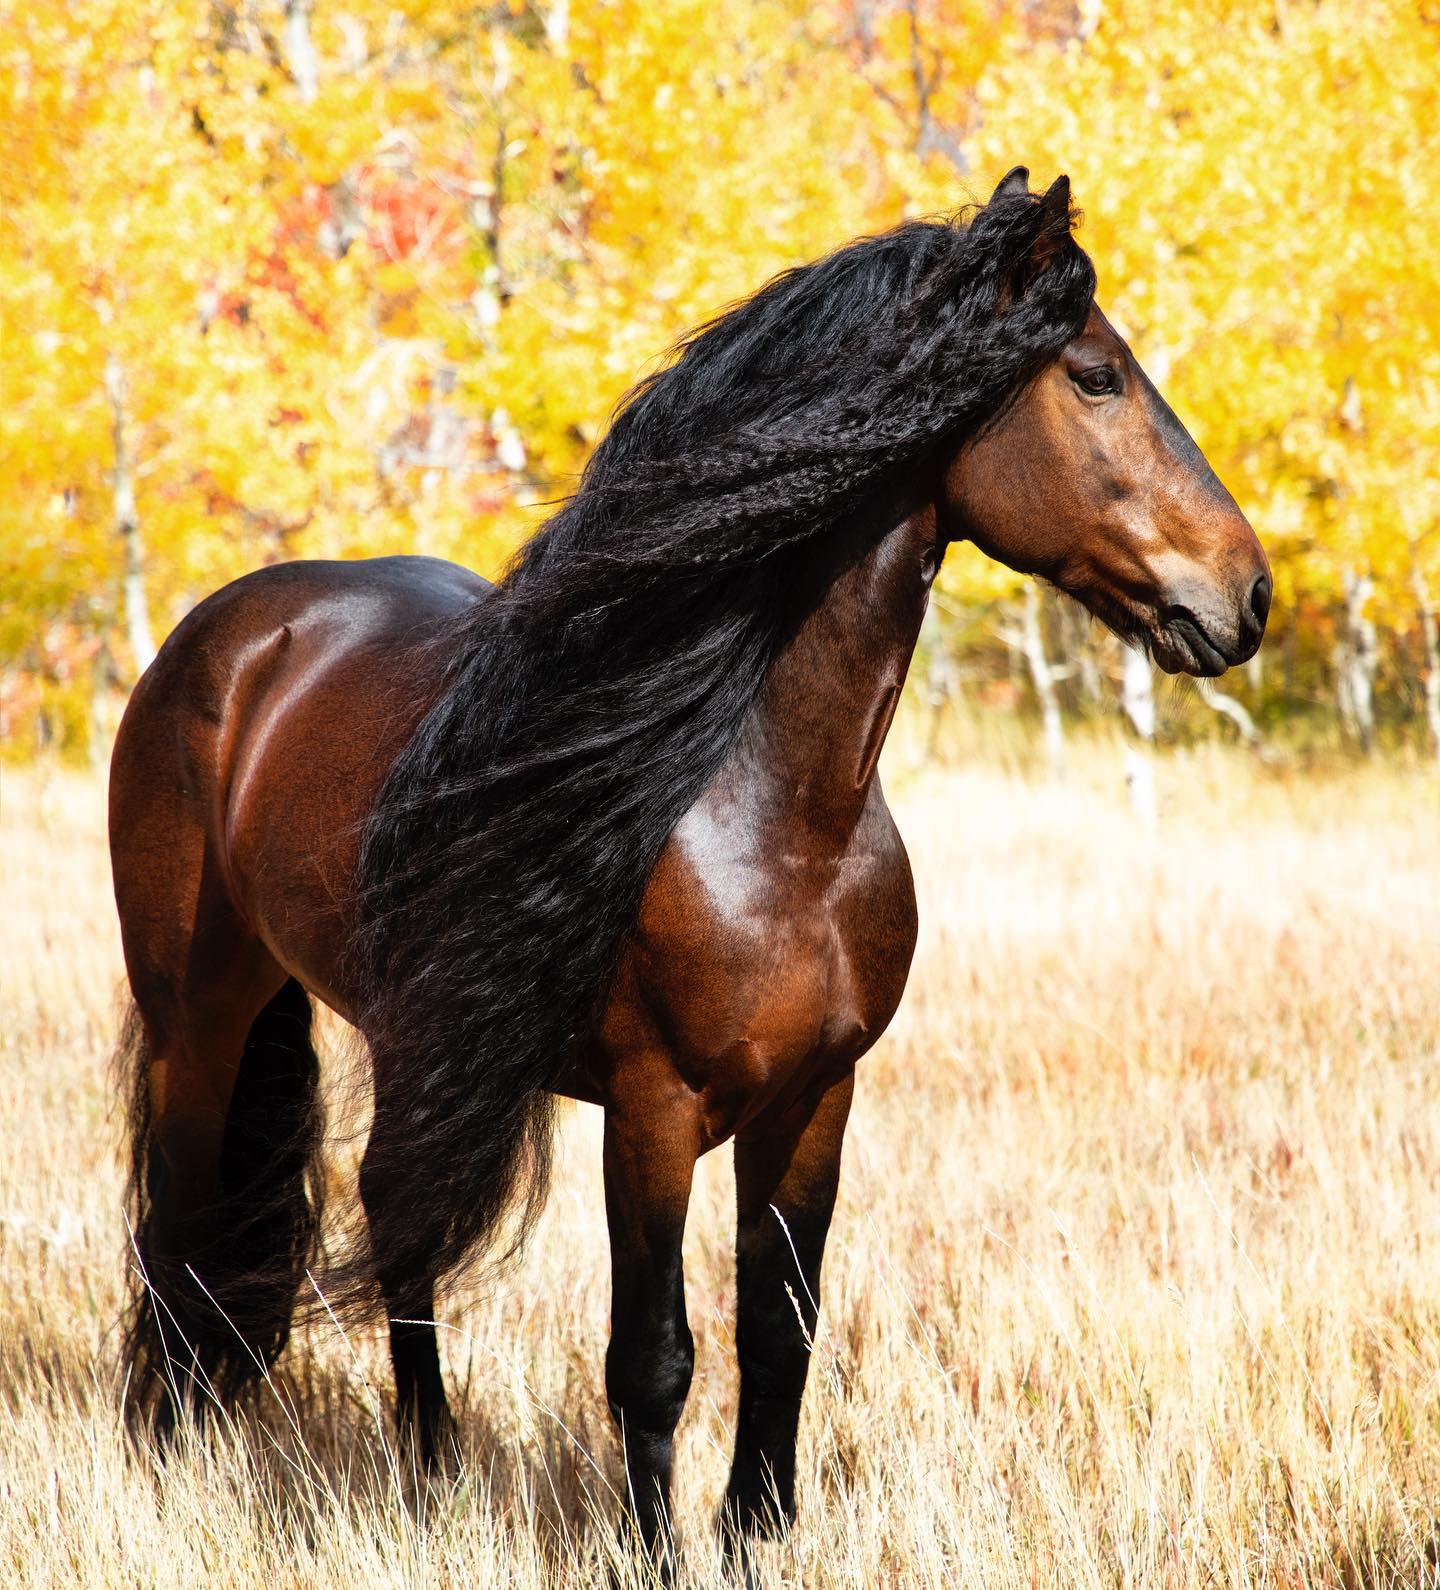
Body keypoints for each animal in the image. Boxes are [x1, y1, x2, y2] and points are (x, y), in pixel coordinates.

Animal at [108, 168, 1270, 1571]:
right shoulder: (653, 1113)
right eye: (1096, 376)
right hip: (199, 1013)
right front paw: (657, 1550)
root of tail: (232, 634)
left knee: (397, 1216)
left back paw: (429, 1470)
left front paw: (756, 1535)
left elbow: (780, 1330)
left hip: (407, 1030)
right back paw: (173, 1449)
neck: (775, 819)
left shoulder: (816, 1101)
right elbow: (654, 1355)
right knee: (181, 1226)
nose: (1248, 594)